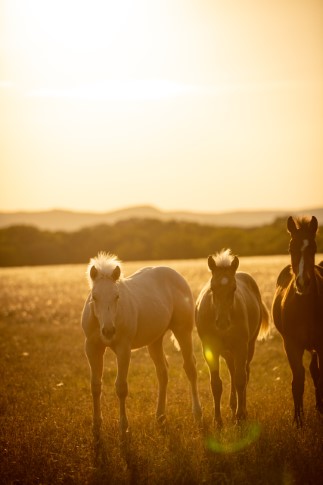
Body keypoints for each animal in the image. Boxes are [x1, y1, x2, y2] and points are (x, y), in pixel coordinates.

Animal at [81, 253, 202, 438]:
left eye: (117, 296)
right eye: (94, 296)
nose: (108, 331)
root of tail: (176, 275)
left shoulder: (123, 349)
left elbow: (121, 387)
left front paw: (124, 427)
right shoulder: (92, 348)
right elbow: (95, 385)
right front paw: (96, 426)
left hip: (183, 331)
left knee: (190, 368)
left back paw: (197, 413)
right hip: (155, 340)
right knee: (162, 372)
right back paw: (160, 416)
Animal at [196, 250, 270, 428]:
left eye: (234, 288)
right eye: (212, 287)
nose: (223, 322)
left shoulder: (241, 347)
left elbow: (240, 380)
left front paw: (240, 416)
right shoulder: (210, 349)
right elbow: (216, 384)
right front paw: (218, 421)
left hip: (248, 347)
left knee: (244, 373)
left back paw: (241, 409)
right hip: (228, 352)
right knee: (232, 371)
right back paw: (232, 406)